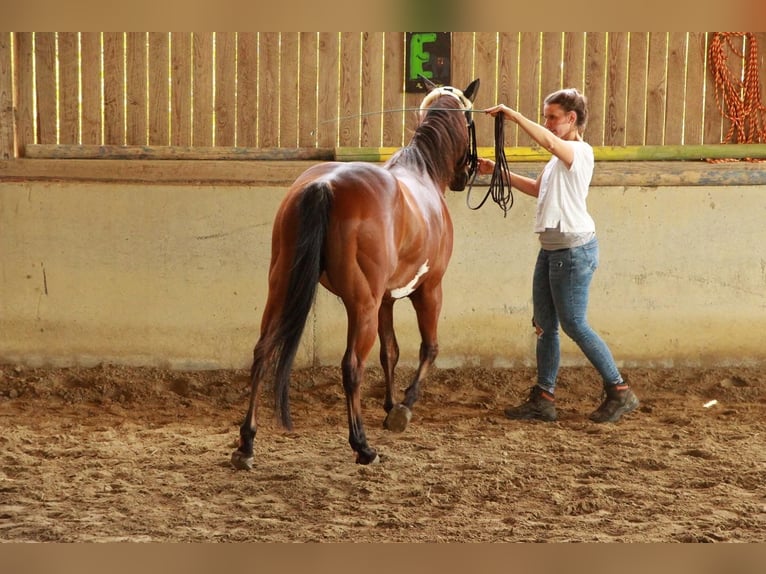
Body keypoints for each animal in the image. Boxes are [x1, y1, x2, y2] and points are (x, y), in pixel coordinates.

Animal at [231, 77, 480, 469]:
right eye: (471, 122)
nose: (467, 173)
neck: (421, 174)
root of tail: (325, 185)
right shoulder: (429, 290)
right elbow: (429, 348)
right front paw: (403, 408)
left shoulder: (386, 300)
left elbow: (390, 351)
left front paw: (391, 405)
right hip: (361, 305)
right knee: (351, 367)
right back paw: (362, 445)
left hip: (282, 289)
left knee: (261, 353)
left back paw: (246, 444)